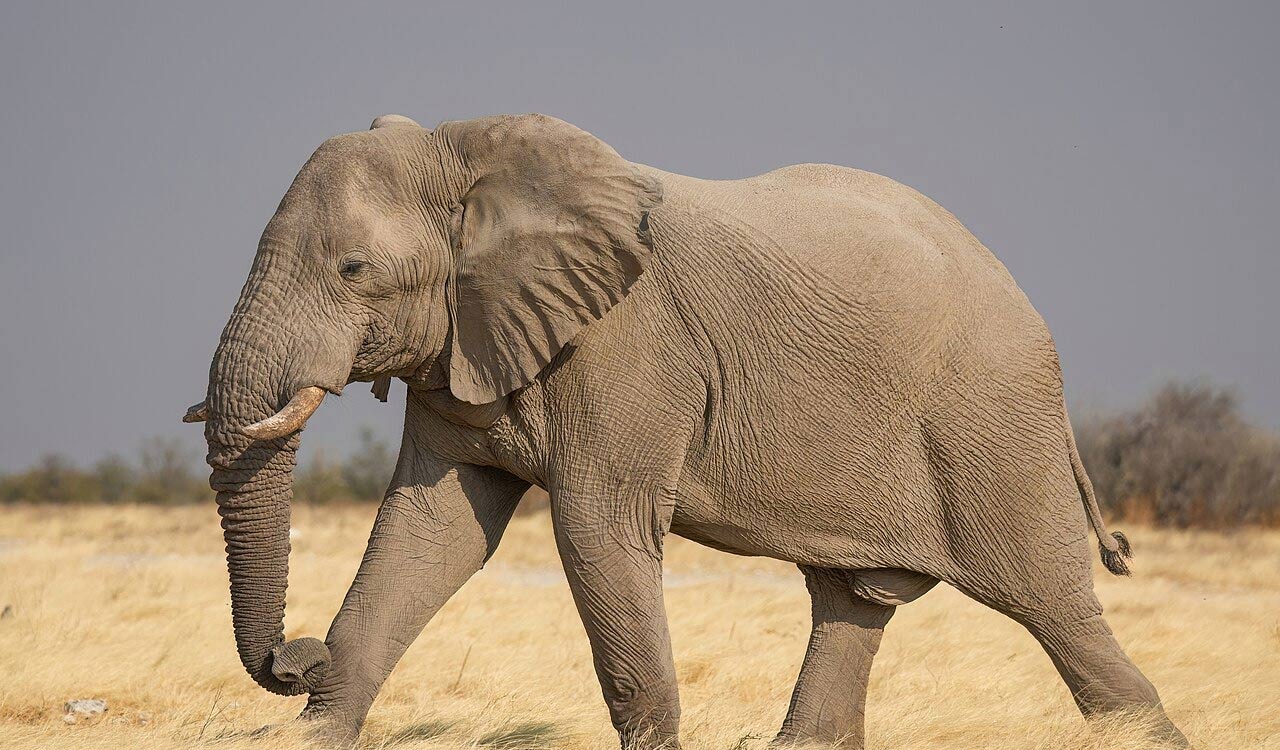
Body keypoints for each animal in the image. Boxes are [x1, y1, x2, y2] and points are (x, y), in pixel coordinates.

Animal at [183, 112, 1188, 749]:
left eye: (353, 269)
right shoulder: (466, 341)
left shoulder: (627, 350)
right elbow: (431, 535)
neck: (474, 153)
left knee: (1058, 613)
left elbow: (596, 532)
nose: (293, 656)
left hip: (992, 423)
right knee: (853, 602)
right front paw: (317, 729)